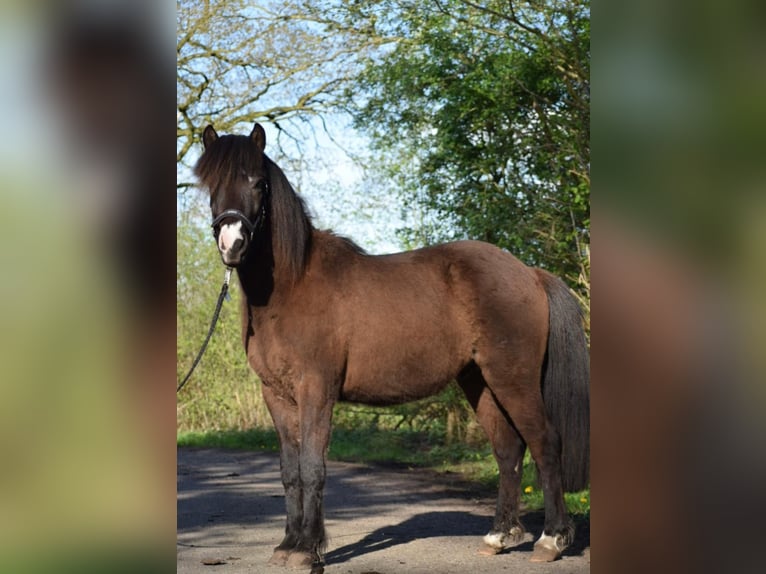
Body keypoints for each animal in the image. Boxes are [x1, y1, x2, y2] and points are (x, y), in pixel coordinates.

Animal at [195, 122, 592, 572]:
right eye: (211, 183)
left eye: (258, 183)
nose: (232, 243)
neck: (291, 287)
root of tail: (529, 273)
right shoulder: (276, 394)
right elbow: (290, 470)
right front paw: (289, 545)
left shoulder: (316, 389)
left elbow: (313, 466)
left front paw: (311, 549)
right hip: (480, 381)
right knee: (508, 450)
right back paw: (499, 536)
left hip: (514, 378)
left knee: (545, 443)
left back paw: (551, 540)